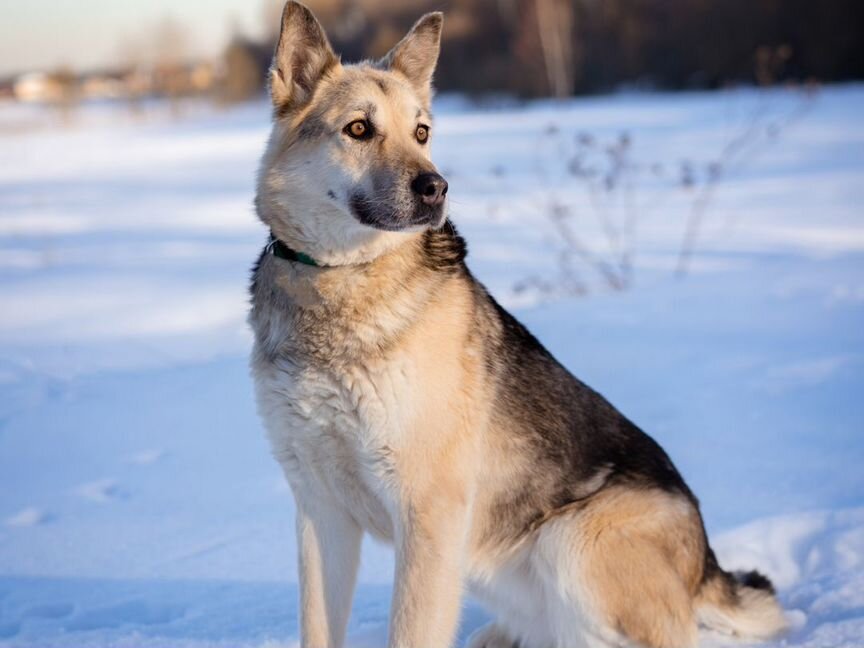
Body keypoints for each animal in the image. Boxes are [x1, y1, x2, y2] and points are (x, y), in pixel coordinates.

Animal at [246, 2, 788, 644]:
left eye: (421, 132)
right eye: (359, 129)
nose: (436, 187)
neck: (340, 280)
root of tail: (705, 564)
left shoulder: (427, 511)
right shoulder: (319, 511)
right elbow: (319, 625)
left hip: (568, 542)